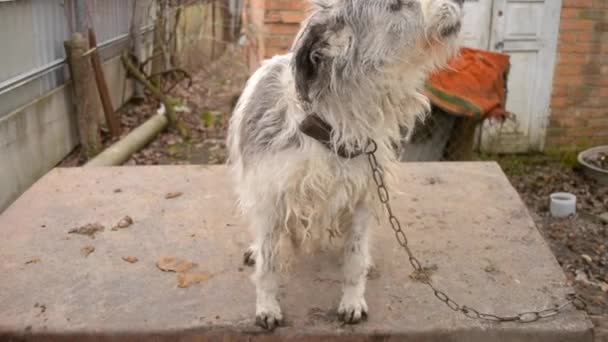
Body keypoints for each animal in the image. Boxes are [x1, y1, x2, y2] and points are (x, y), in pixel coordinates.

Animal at [227, 0, 460, 332]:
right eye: (397, 5)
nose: (463, 3)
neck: (332, 126)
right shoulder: (270, 200)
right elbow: (269, 264)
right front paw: (267, 306)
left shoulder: (364, 197)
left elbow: (354, 257)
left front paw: (352, 300)